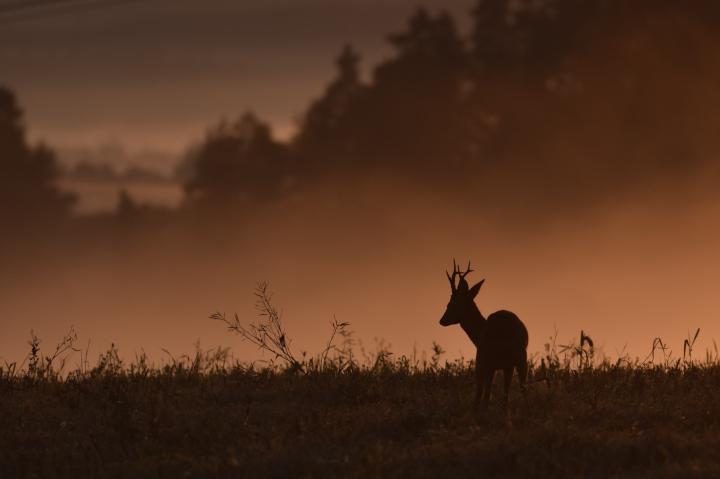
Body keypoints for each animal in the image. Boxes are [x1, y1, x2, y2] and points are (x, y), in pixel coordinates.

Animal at [438, 260, 528, 410]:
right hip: (520, 358)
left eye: (451, 303)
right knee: (522, 388)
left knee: (482, 392)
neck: (478, 333)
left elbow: (483, 392)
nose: (442, 320)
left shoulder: (484, 362)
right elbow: (504, 394)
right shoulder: (506, 366)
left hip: (486, 359)